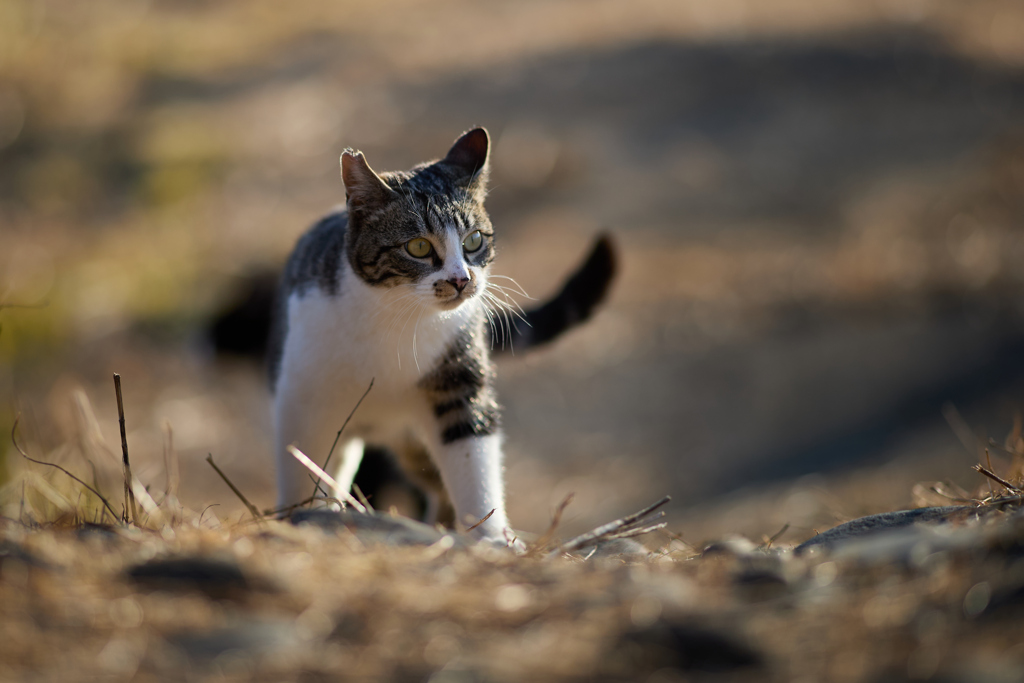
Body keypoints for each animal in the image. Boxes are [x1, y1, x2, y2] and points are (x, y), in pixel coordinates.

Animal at [266, 126, 614, 544]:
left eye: (474, 241)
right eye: (418, 247)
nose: (461, 280)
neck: (395, 321)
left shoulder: (459, 380)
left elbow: (474, 464)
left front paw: (491, 537)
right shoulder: (302, 399)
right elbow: (303, 466)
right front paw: (303, 519)